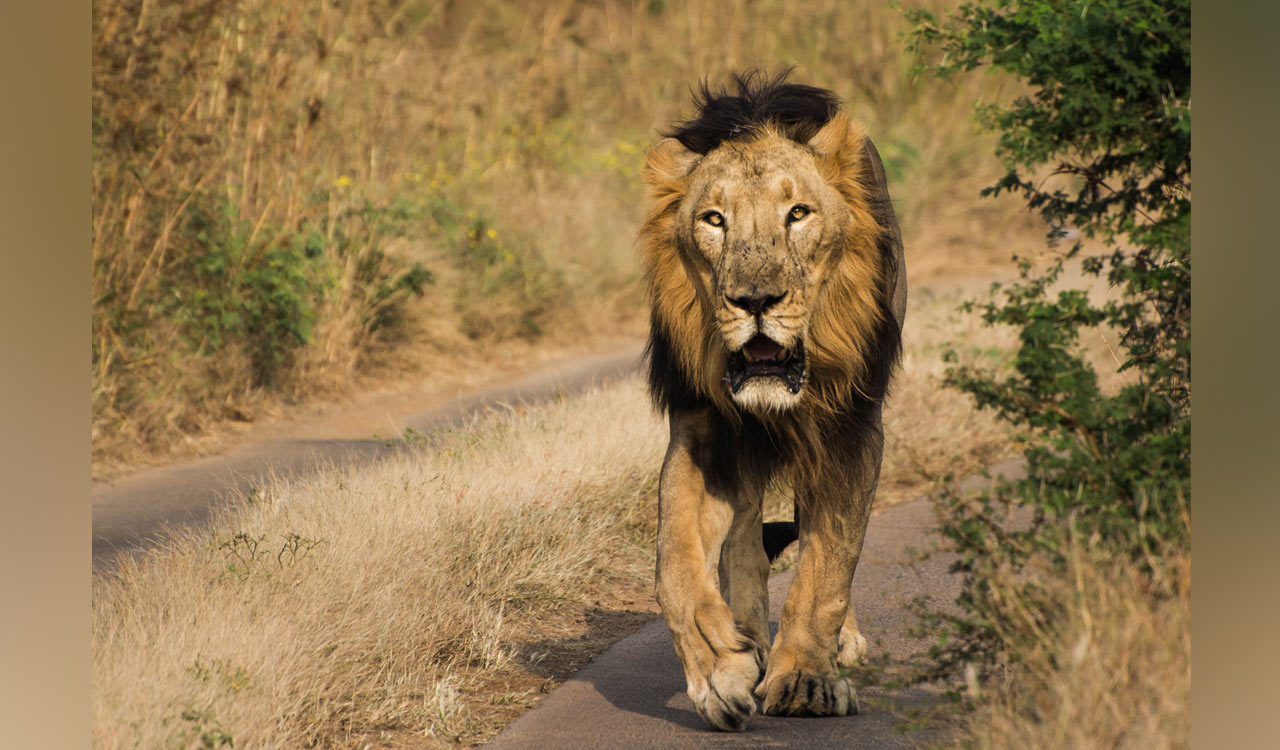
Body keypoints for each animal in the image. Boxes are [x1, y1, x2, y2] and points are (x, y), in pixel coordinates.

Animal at [637, 71, 901, 732]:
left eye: (798, 213)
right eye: (713, 219)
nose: (755, 300)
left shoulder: (850, 428)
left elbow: (828, 564)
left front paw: (806, 678)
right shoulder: (702, 428)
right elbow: (675, 566)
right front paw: (719, 672)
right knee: (743, 545)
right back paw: (749, 634)